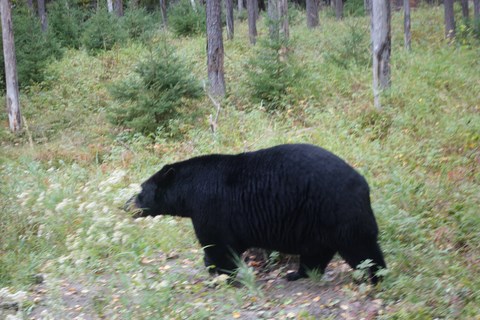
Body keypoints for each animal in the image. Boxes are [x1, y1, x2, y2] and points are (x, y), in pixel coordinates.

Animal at [127, 144, 386, 284]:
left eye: (141, 190)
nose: (126, 205)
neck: (188, 192)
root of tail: (363, 183)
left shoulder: (210, 207)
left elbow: (217, 244)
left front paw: (220, 275)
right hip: (316, 223)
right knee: (316, 252)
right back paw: (297, 274)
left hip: (337, 211)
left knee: (361, 248)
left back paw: (376, 277)